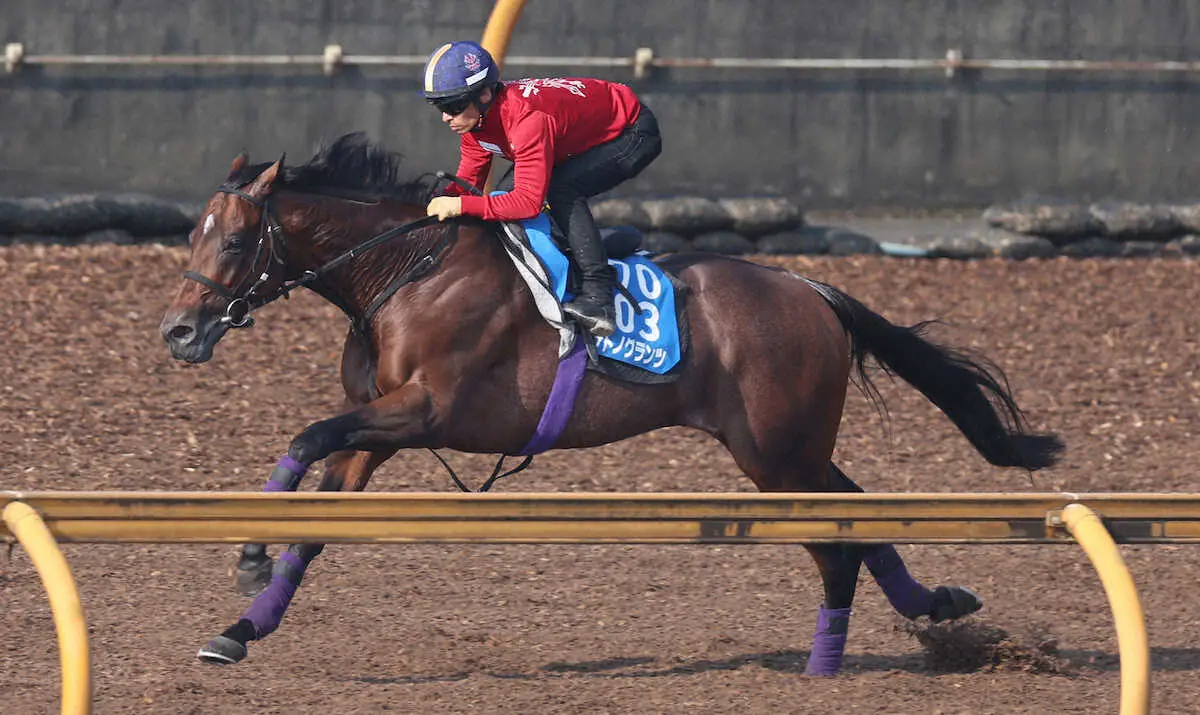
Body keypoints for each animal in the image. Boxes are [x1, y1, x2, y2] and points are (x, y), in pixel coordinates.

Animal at [157, 132, 1060, 676]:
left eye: (232, 240)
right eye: (190, 236)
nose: (178, 330)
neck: (405, 271)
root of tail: (812, 287)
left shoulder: (427, 410)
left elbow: (305, 437)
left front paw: (247, 552)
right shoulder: (381, 427)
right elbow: (315, 520)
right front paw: (238, 630)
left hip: (775, 452)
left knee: (835, 536)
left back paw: (831, 655)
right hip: (786, 446)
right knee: (856, 510)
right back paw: (933, 605)